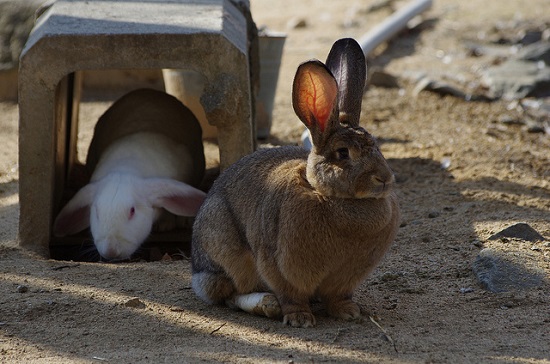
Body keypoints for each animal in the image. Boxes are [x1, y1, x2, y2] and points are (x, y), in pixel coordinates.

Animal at [192, 37, 398, 328]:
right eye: (343, 153)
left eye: (377, 146)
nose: (385, 179)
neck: (325, 193)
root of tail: (197, 272)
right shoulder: (279, 265)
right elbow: (291, 294)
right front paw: (300, 319)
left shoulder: (345, 279)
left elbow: (338, 297)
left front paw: (349, 312)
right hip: (225, 249)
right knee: (230, 295)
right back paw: (267, 305)